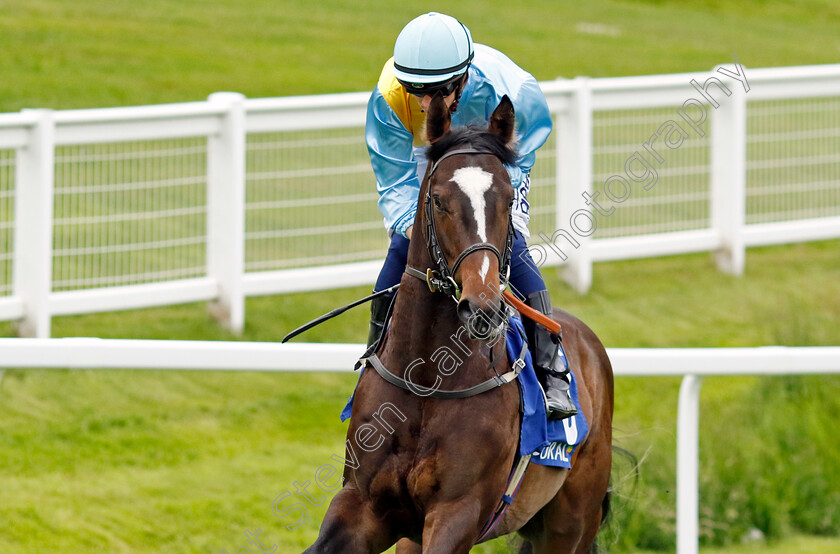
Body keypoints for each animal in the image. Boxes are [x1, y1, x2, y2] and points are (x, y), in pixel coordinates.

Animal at [306, 95, 612, 552]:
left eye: (508, 200)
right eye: (437, 200)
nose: (482, 307)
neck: (426, 383)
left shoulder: (459, 512)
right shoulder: (362, 504)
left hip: (572, 520)